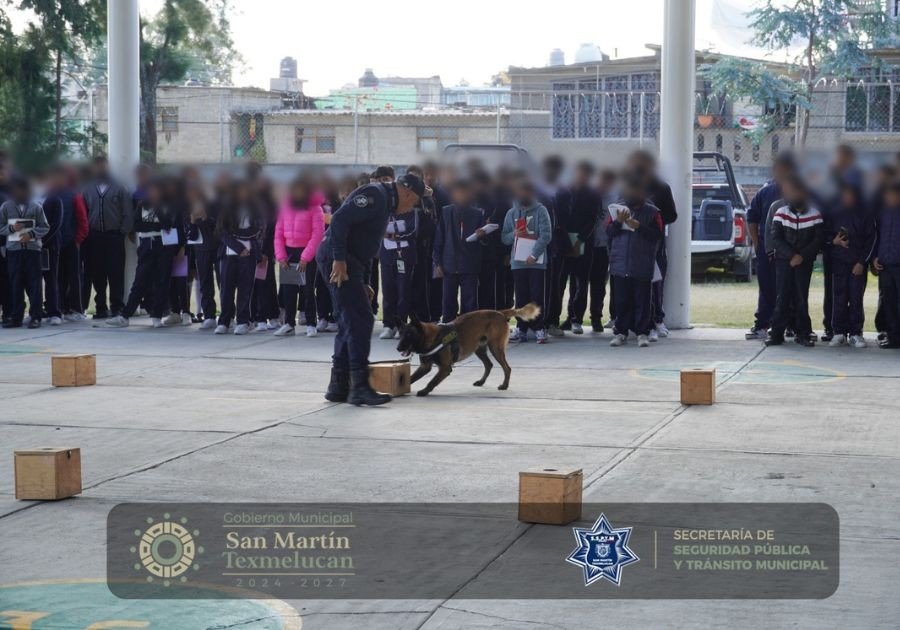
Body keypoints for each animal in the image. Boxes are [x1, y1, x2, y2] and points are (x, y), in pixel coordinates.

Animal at [396, 304, 536, 398]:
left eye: (409, 334)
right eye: (401, 334)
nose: (398, 348)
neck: (432, 338)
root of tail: (499, 313)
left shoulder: (445, 368)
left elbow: (432, 381)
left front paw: (424, 391)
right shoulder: (424, 367)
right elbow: (410, 378)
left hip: (495, 348)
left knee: (507, 368)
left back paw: (504, 385)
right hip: (479, 349)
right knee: (489, 365)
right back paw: (481, 381)